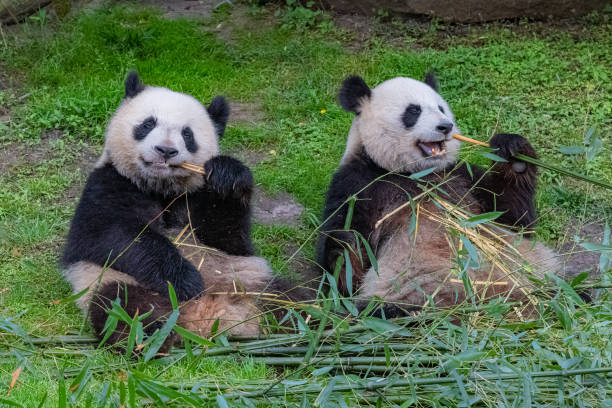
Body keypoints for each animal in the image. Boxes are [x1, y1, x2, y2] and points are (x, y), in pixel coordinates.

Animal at [61, 71, 272, 346]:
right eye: (148, 124)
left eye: (188, 134)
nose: (165, 150)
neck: (160, 188)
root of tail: (204, 323)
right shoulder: (107, 184)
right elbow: (112, 236)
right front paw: (186, 280)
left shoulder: (195, 197)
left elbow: (227, 238)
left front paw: (228, 177)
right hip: (110, 281)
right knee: (125, 309)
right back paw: (153, 337)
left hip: (252, 282)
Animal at [318, 72, 580, 316]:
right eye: (413, 111)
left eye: (441, 108)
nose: (445, 127)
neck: (415, 173)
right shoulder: (358, 183)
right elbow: (343, 263)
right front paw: (347, 251)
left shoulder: (459, 176)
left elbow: (513, 220)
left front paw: (514, 155)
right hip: (410, 297)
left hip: (539, 273)